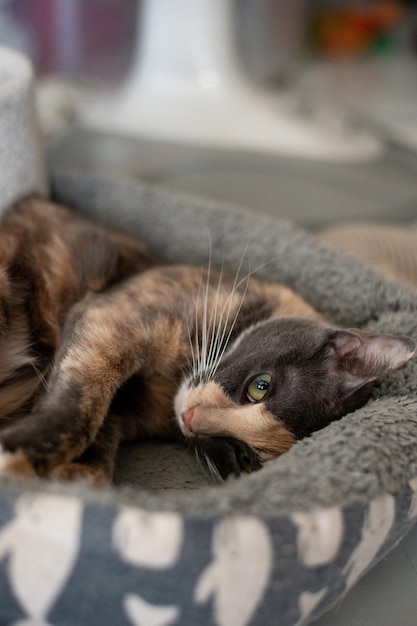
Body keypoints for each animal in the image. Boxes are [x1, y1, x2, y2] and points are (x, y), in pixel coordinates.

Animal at [0, 197, 412, 480]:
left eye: (243, 457)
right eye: (260, 386)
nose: (189, 417)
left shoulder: (123, 408)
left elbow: (100, 439)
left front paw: (75, 475)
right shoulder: (112, 318)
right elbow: (82, 409)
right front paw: (18, 454)